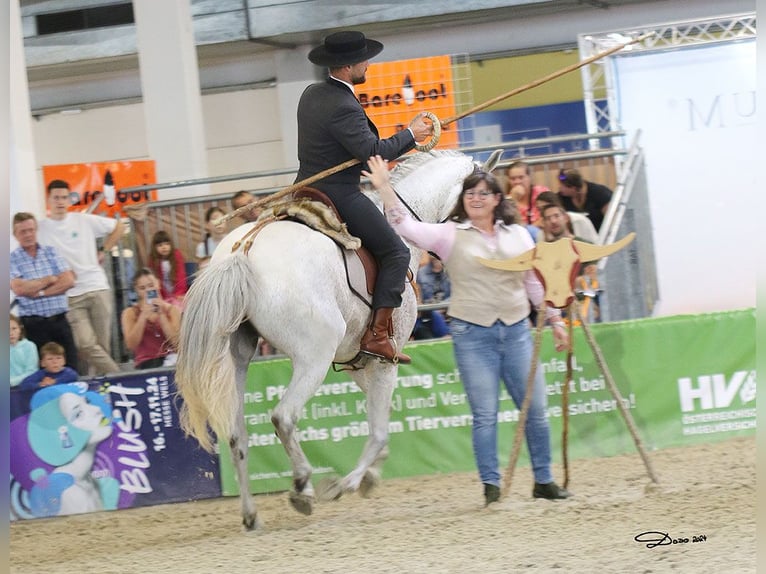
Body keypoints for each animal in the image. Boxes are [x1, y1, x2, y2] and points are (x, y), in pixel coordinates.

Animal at [175, 148, 496, 532]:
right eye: (475, 199)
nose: (484, 247)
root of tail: (244, 252)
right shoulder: (385, 359)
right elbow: (379, 429)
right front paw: (349, 482)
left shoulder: (360, 361)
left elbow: (383, 414)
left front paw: (371, 474)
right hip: (312, 357)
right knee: (283, 417)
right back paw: (302, 486)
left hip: (238, 359)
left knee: (237, 435)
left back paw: (252, 516)